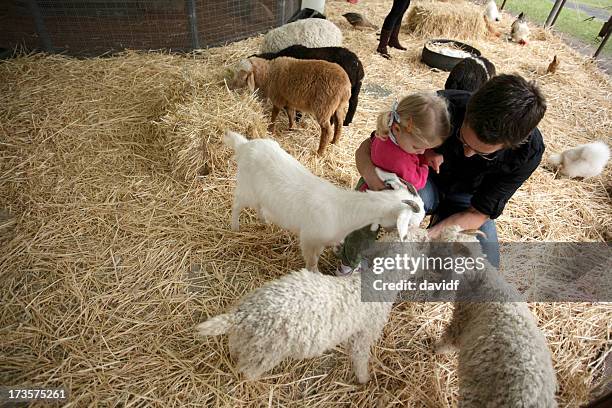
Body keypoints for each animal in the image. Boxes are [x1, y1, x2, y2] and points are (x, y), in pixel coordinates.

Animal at [197, 231, 430, 384]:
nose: (428, 233)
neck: (373, 281)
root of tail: (244, 315)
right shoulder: (365, 333)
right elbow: (360, 357)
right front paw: (365, 379)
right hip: (266, 352)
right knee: (247, 372)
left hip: (245, 342)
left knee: (235, 351)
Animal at [225, 129, 426, 272]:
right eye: (412, 222)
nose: (420, 235)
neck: (344, 209)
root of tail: (244, 145)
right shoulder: (309, 239)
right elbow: (312, 262)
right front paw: (314, 274)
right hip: (246, 187)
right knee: (237, 204)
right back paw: (235, 227)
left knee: (259, 205)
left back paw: (264, 221)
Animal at [430, 225, 560, 406]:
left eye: (444, 244)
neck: (484, 281)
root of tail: (532, 398)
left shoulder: (461, 321)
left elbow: (448, 342)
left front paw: (435, 349)